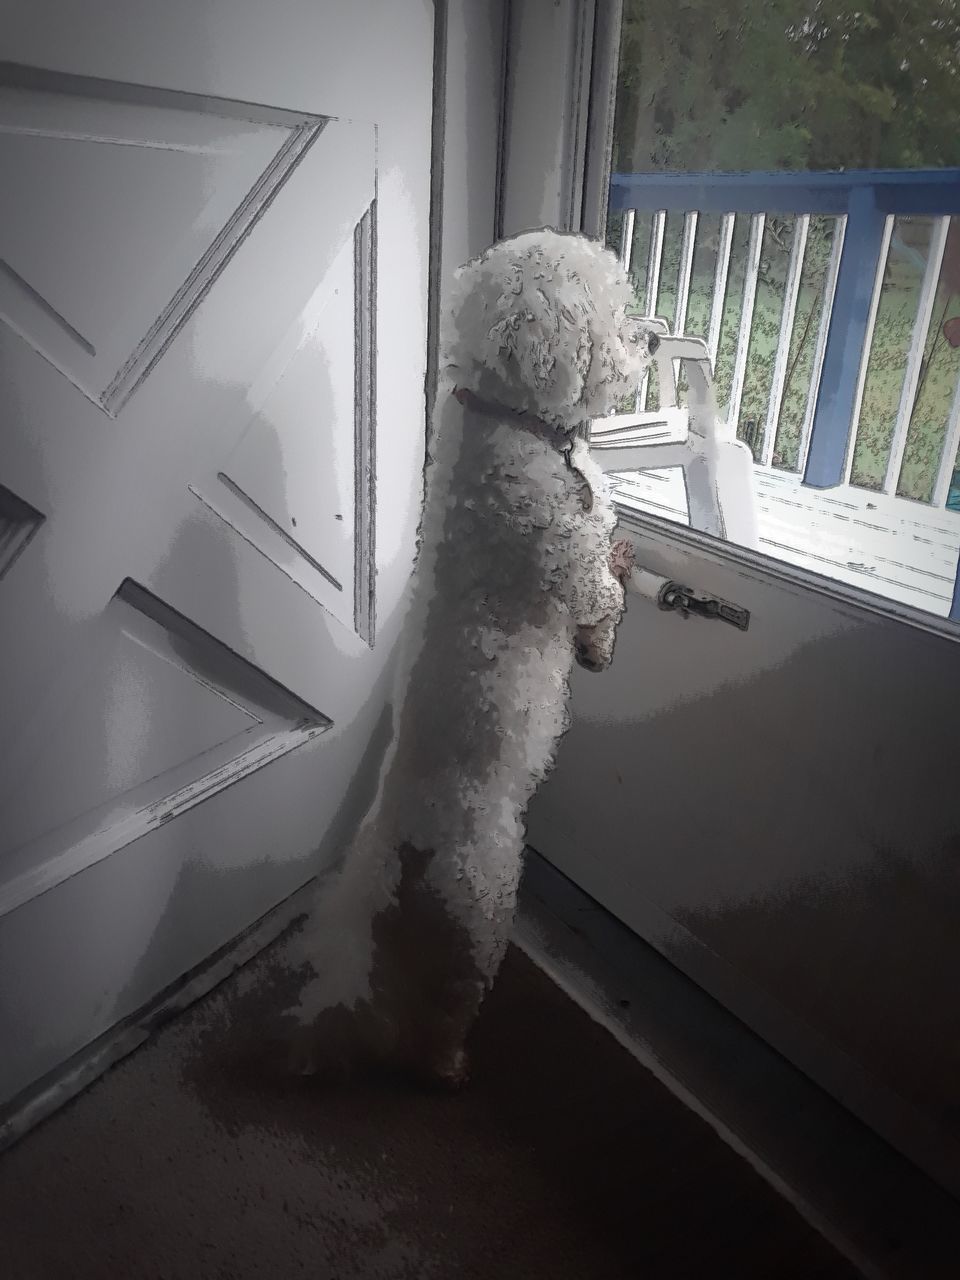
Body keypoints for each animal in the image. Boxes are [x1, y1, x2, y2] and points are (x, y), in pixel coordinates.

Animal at [277, 232, 655, 1090]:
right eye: (614, 316)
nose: (653, 338)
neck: (511, 421)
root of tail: (400, 854)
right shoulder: (567, 564)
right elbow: (603, 596)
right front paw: (614, 606)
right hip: (480, 909)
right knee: (441, 1021)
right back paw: (449, 1065)